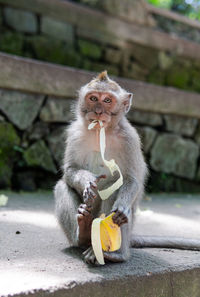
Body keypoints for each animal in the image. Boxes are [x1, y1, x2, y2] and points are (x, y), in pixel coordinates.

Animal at [54, 71, 200, 264]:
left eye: (107, 100)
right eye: (93, 98)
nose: (98, 111)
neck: (100, 132)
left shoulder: (130, 138)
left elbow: (131, 180)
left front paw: (122, 207)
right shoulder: (75, 133)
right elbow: (70, 171)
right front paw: (87, 181)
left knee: (114, 188)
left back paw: (114, 254)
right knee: (62, 186)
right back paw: (83, 233)